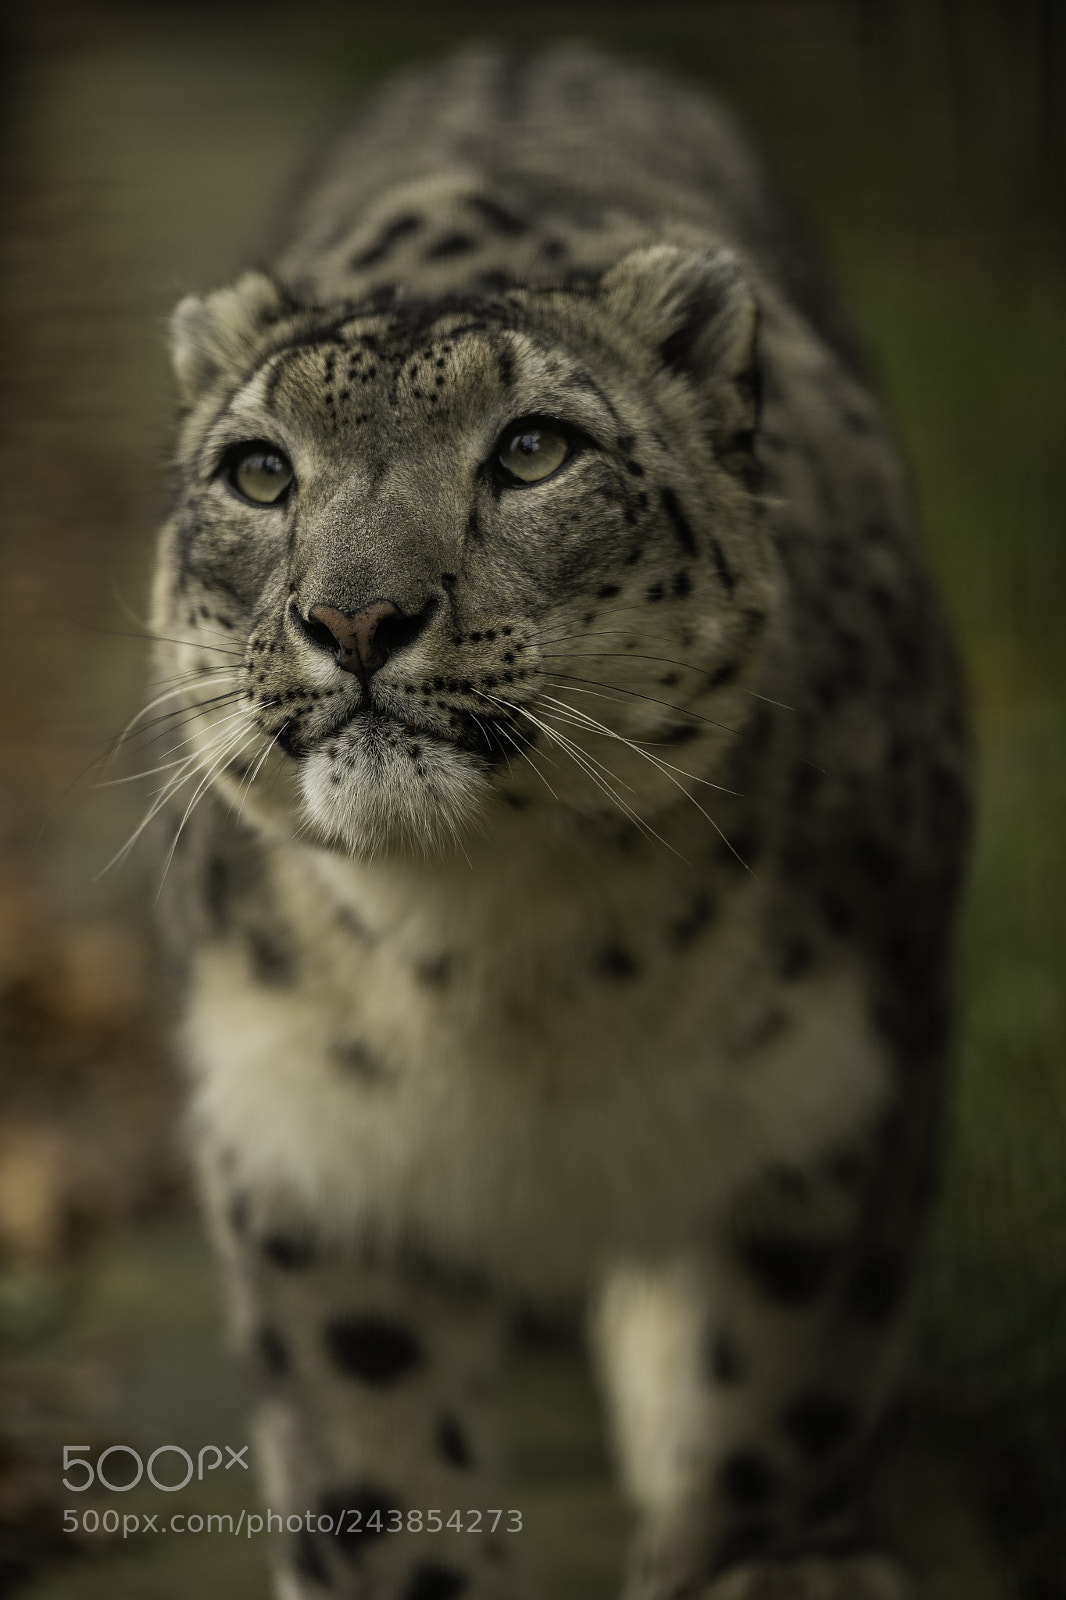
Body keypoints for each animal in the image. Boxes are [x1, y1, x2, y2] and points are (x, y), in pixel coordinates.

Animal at [149, 41, 970, 1600]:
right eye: (259, 471)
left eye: (532, 450)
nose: (354, 617)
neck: (499, 947)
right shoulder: (309, 1151)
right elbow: (378, 1473)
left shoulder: (840, 1103)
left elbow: (777, 1387)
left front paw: (758, 1560)